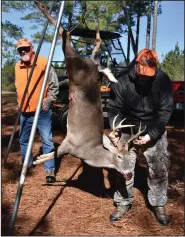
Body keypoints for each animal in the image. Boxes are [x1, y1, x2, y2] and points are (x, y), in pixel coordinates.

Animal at [34, 0, 145, 180]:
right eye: (119, 156)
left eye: (131, 157)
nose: (128, 173)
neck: (89, 153)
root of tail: (94, 65)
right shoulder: (69, 144)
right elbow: (55, 153)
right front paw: (36, 160)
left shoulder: (68, 144)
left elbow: (52, 153)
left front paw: (39, 157)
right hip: (73, 64)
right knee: (65, 34)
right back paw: (42, 6)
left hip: (80, 64)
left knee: (93, 42)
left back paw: (96, 27)